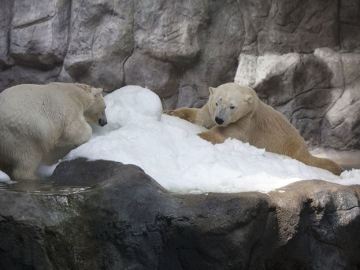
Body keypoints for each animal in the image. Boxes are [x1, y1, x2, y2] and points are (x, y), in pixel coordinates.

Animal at [169, 82, 344, 175]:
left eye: (232, 106)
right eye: (217, 102)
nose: (219, 119)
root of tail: (304, 149)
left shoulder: (248, 122)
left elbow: (228, 132)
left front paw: (203, 135)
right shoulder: (210, 111)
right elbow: (199, 116)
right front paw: (172, 112)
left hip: (289, 146)